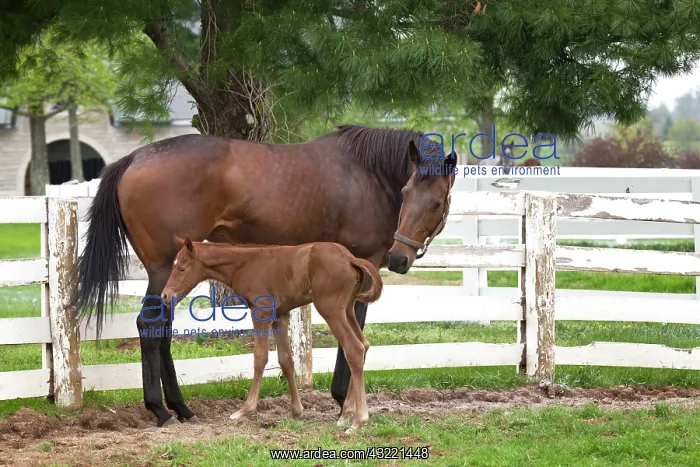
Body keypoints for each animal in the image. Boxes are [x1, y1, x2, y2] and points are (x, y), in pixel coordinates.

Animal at [160, 236, 383, 433]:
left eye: (181, 268)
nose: (165, 295)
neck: (245, 263)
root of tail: (350, 258)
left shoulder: (262, 312)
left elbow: (260, 358)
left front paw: (245, 410)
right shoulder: (280, 316)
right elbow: (286, 359)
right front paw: (296, 410)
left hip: (331, 309)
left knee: (354, 348)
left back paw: (358, 421)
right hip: (348, 308)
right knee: (364, 345)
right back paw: (346, 414)